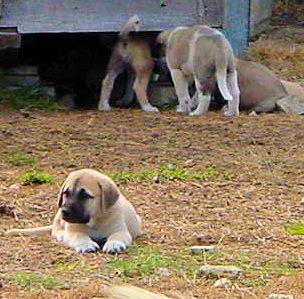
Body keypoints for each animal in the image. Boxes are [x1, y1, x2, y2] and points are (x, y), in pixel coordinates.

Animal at [6, 170, 142, 254]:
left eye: (85, 195)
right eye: (66, 193)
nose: (64, 211)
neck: (94, 220)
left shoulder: (120, 230)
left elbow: (117, 236)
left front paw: (114, 244)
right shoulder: (73, 231)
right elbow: (79, 235)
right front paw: (86, 245)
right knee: (56, 230)